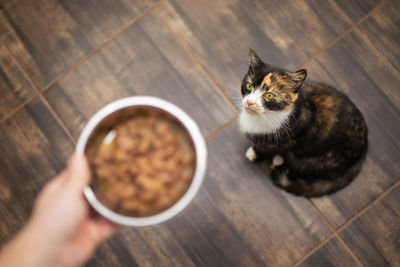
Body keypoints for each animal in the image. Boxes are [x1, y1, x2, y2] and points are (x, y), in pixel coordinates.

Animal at [239, 49, 368, 198]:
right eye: (249, 86)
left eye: (269, 95)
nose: (249, 102)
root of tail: (364, 146)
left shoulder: (283, 138)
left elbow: (267, 148)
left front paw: (254, 153)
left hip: (315, 160)